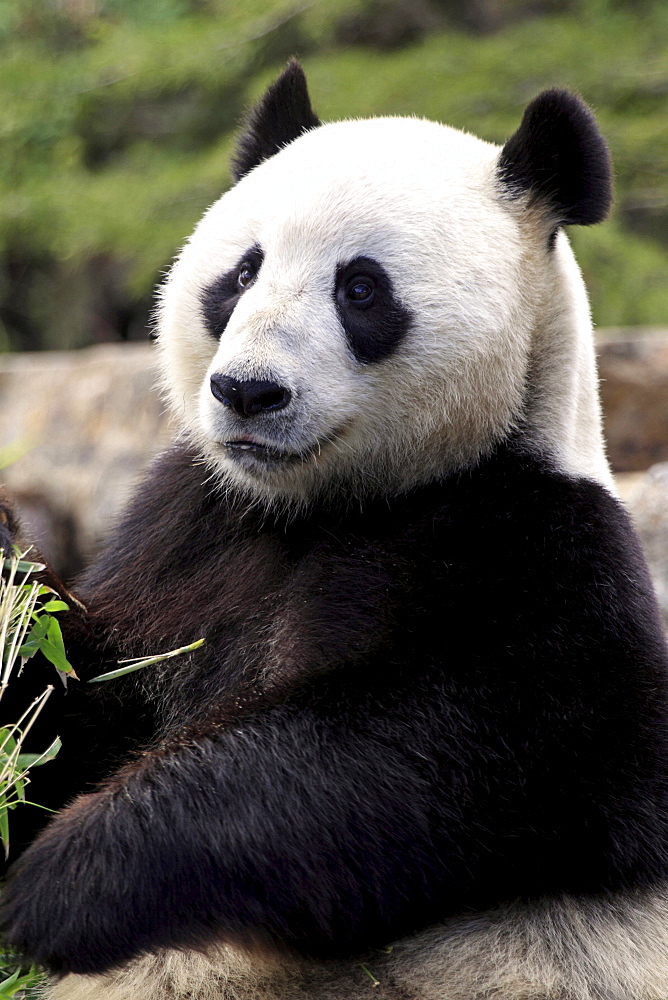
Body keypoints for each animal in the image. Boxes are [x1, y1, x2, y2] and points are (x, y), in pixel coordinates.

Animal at [1, 62, 668, 1000]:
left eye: (360, 288)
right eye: (242, 273)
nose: (248, 392)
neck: (321, 504)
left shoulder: (543, 559)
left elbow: (403, 762)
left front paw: (69, 883)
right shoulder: (188, 531)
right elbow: (77, 704)